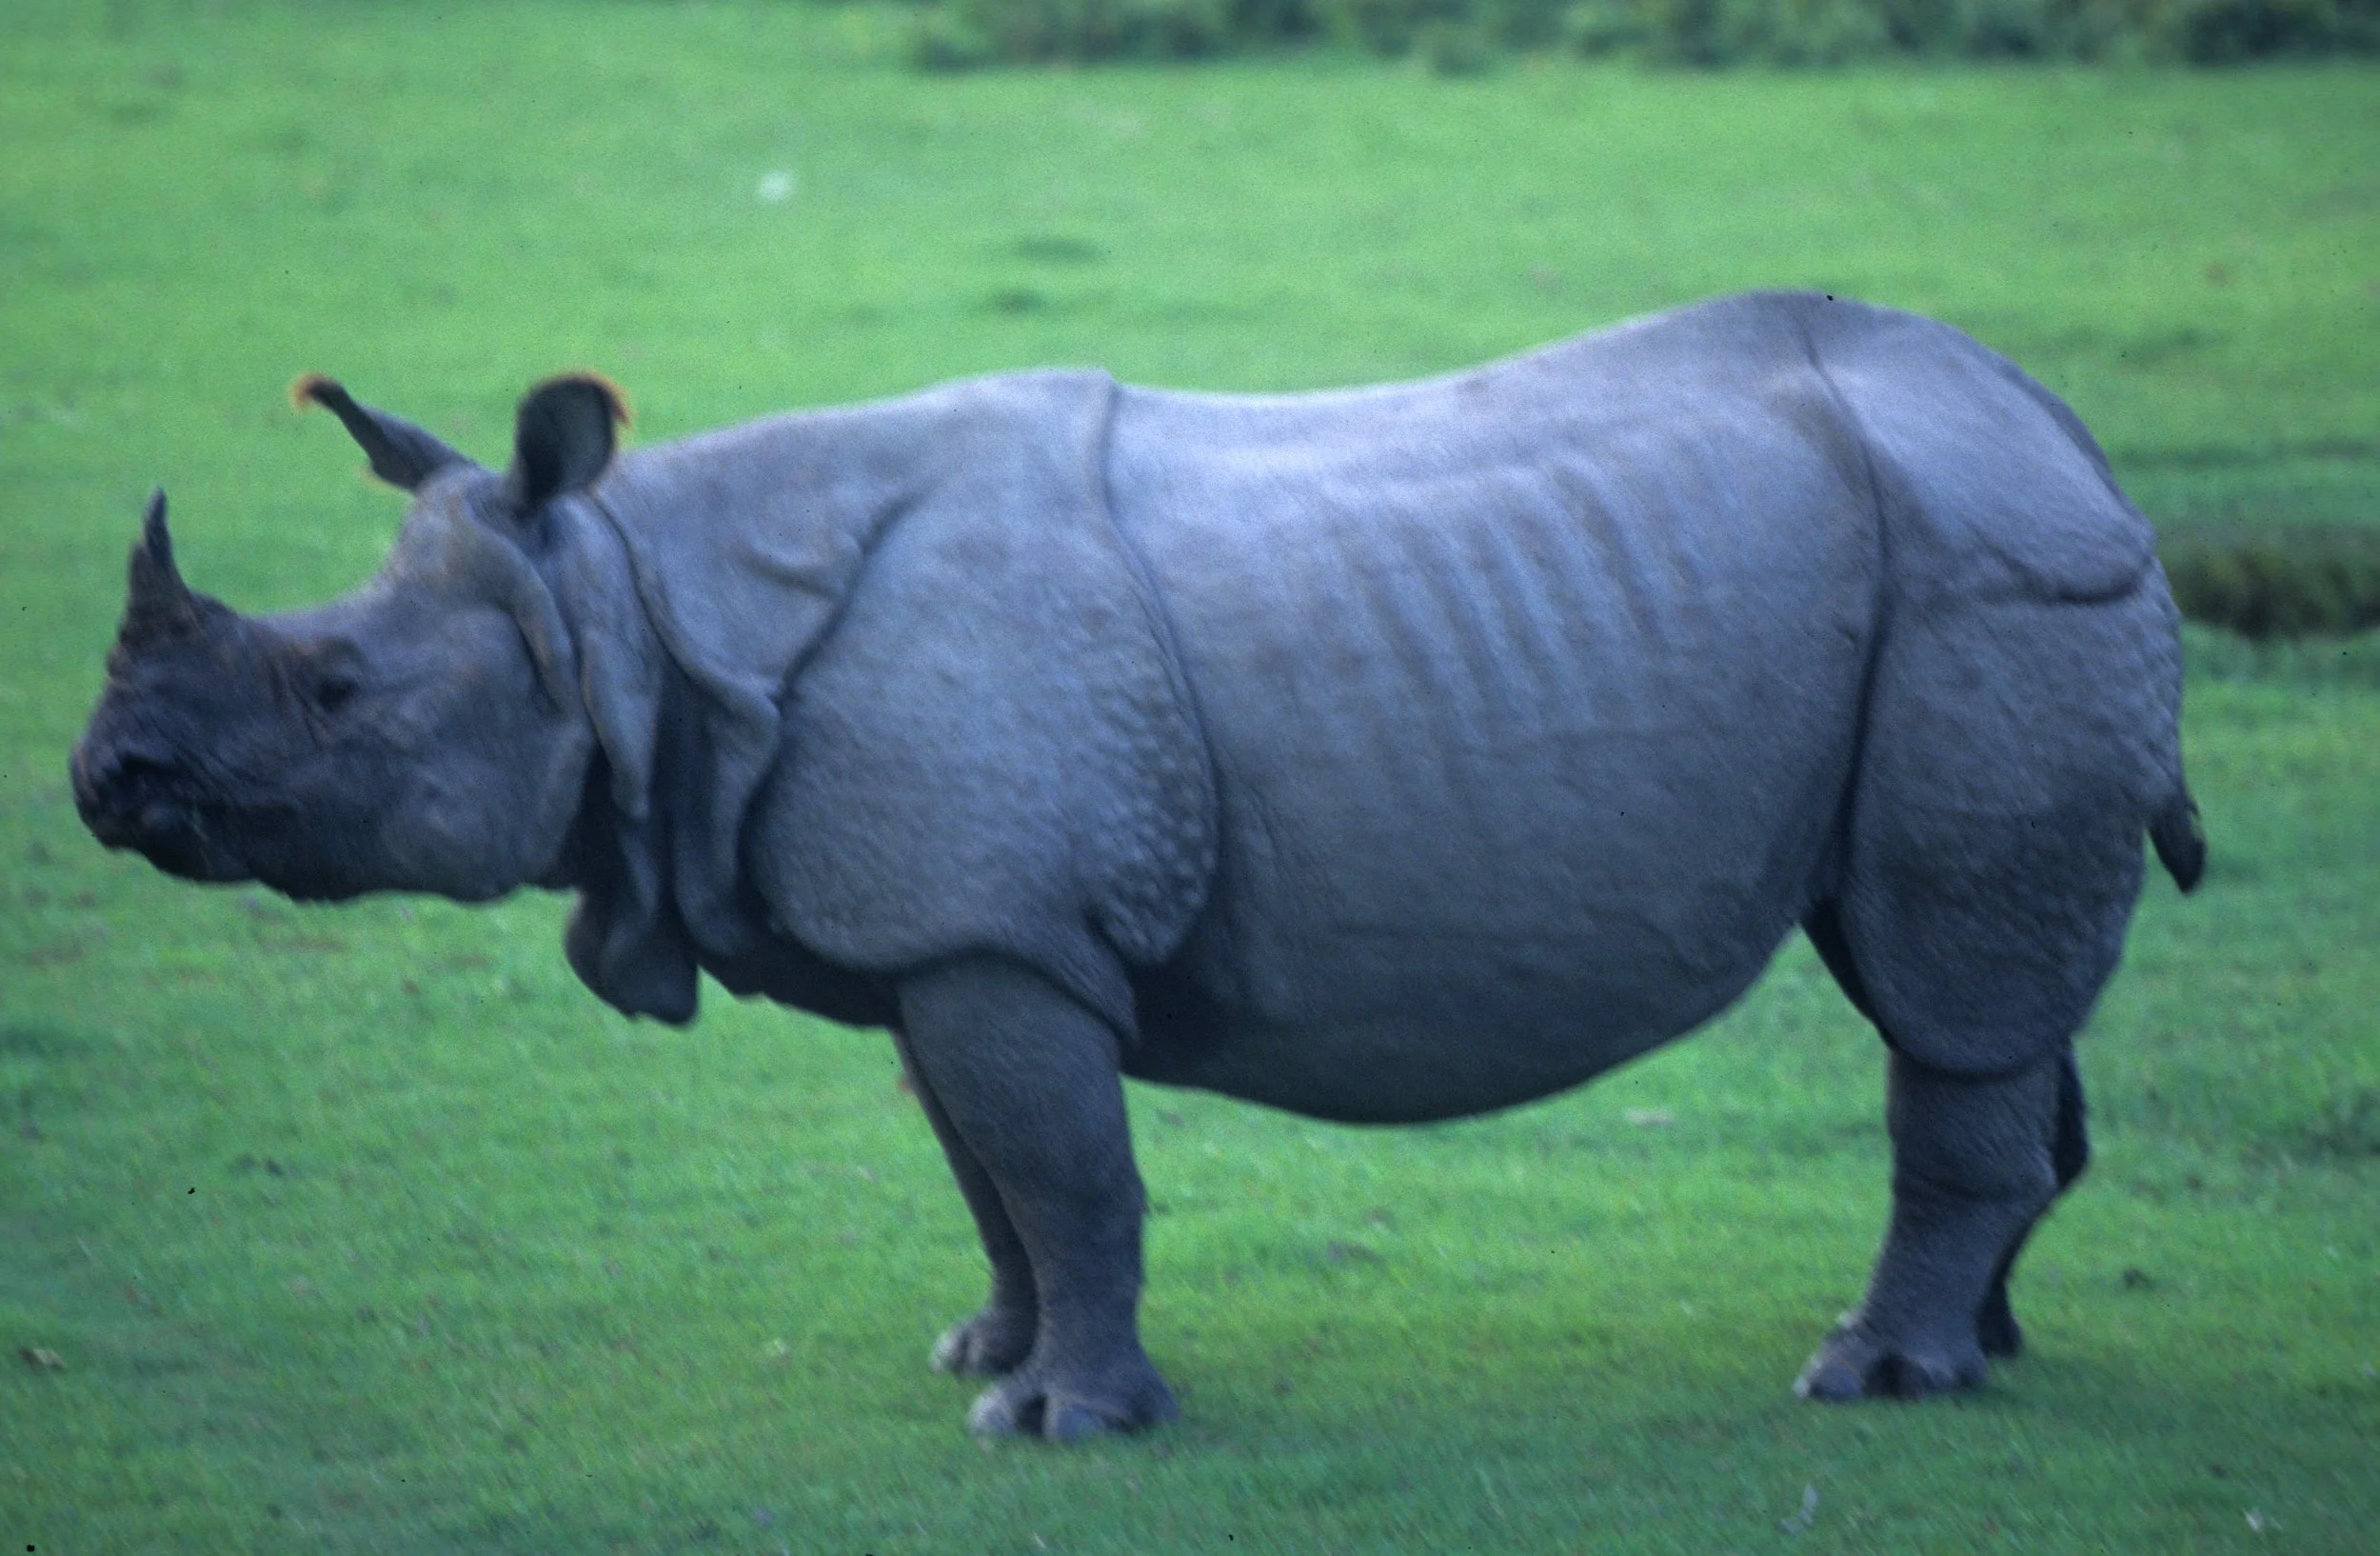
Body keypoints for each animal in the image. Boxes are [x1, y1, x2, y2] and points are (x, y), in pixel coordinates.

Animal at [73, 291, 2205, 1441]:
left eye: (335, 685)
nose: (106, 779)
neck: (633, 612)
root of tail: (2073, 440)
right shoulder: (943, 927)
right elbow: (989, 1168)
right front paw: (986, 1351)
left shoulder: (995, 927)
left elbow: (1066, 1164)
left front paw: (1060, 1421)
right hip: (1970, 580)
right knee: (1963, 988)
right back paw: (1985, 1348)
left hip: (1998, 587)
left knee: (1946, 983)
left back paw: (1870, 1372)